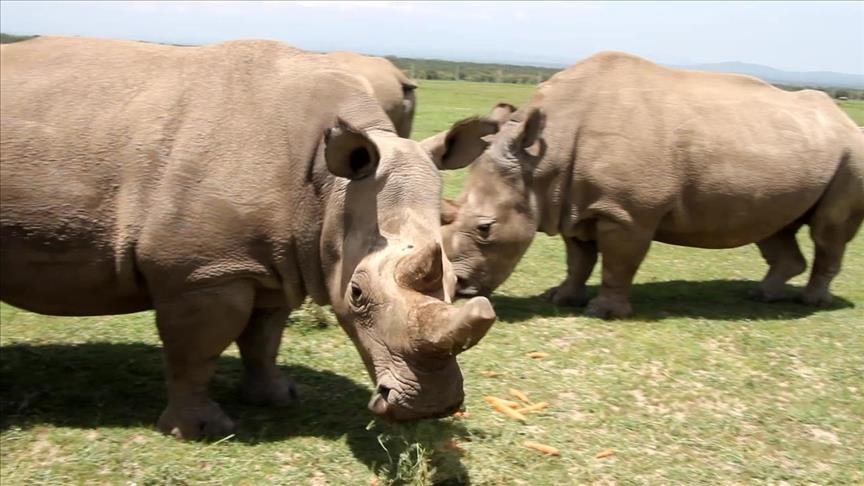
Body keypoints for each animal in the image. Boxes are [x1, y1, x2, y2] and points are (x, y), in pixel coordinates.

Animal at [0, 36, 498, 439]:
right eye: (356, 294)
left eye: (453, 283)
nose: (432, 407)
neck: (330, 190)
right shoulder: (202, 271)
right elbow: (196, 351)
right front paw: (201, 430)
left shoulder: (276, 260)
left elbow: (263, 337)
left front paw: (278, 396)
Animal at [440, 51, 864, 319]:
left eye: (485, 228)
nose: (456, 289)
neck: (543, 160)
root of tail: (845, 120)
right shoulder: (571, 203)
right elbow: (578, 258)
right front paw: (561, 298)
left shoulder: (626, 212)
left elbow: (617, 261)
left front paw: (603, 313)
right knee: (774, 226)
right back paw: (762, 296)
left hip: (852, 155)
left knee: (828, 230)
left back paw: (810, 303)